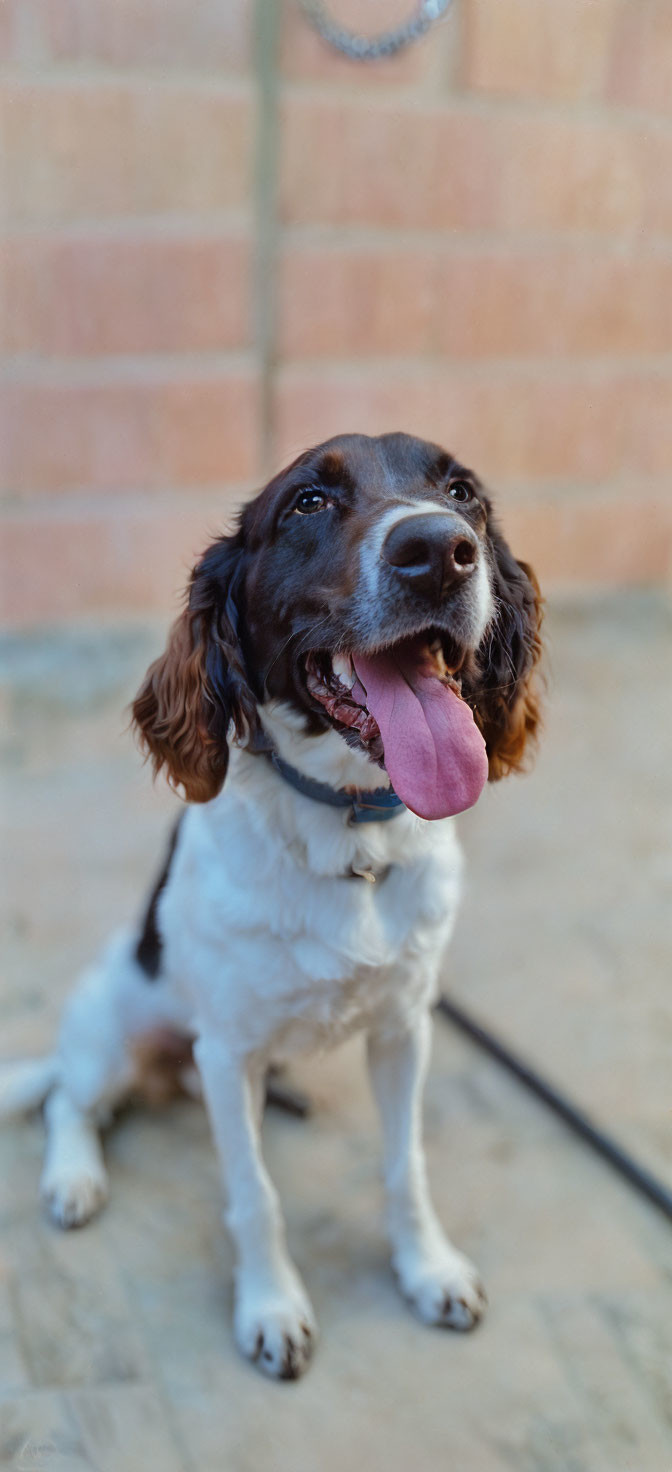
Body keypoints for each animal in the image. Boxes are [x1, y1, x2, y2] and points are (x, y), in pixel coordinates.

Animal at [0, 429, 541, 1377]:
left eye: (462, 492)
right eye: (307, 504)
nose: (439, 550)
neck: (349, 832)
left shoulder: (405, 1026)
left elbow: (405, 1167)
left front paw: (427, 1269)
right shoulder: (229, 1054)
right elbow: (254, 1197)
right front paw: (271, 1306)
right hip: (111, 1025)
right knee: (71, 1099)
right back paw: (73, 1178)